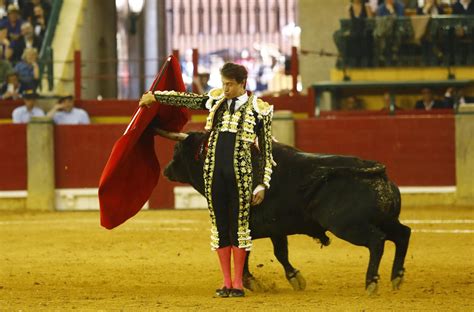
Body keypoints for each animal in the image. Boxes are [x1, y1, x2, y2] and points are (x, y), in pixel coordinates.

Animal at [163, 132, 412, 294]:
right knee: (403, 234)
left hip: (347, 225)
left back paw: (371, 281)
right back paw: (396, 277)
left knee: (377, 240)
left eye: (176, 151)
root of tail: (377, 171)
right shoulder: (276, 228)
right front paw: (295, 279)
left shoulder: (239, 226)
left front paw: (250, 282)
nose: (166, 170)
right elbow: (280, 253)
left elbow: (245, 253)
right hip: (386, 219)